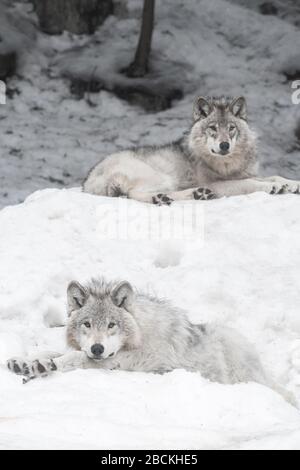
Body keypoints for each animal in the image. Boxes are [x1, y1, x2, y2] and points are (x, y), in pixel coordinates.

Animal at [7, 278, 296, 406]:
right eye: (87, 324)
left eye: (111, 325)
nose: (98, 348)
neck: (140, 335)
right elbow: (52, 350)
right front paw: (23, 361)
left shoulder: (131, 362)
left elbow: (74, 358)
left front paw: (43, 367)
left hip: (229, 342)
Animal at [82, 96, 300, 205]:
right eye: (213, 128)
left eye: (231, 128)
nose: (224, 145)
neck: (227, 164)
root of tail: (89, 181)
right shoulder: (220, 183)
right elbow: (251, 183)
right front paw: (272, 188)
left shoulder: (244, 174)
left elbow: (275, 176)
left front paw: (291, 184)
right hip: (160, 176)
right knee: (134, 194)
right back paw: (165, 198)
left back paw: (195, 195)